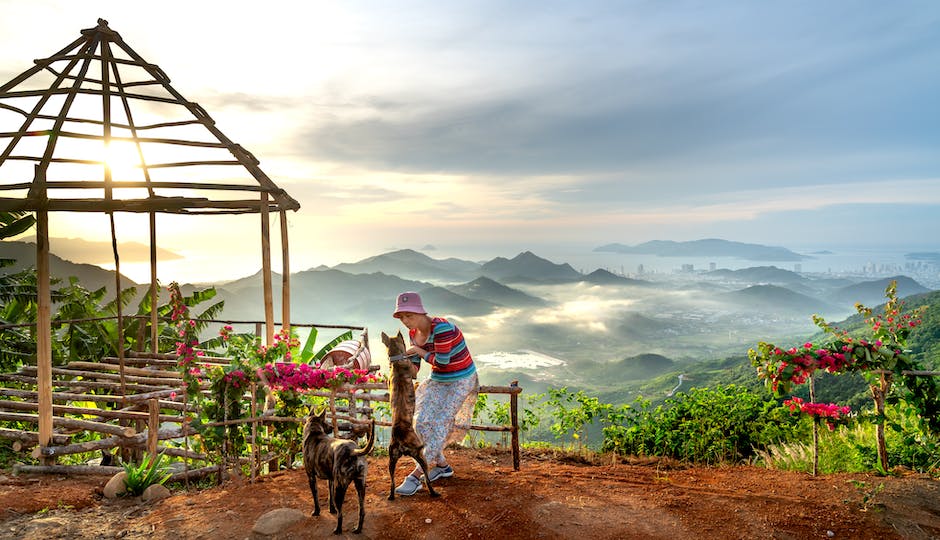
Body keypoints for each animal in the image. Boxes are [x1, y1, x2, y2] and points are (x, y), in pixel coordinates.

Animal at [382, 332, 440, 500]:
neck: (396, 360)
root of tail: (401, 440)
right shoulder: (412, 373)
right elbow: (415, 379)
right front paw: (417, 384)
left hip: (391, 460)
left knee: (392, 482)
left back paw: (391, 495)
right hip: (420, 454)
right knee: (427, 479)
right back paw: (434, 493)